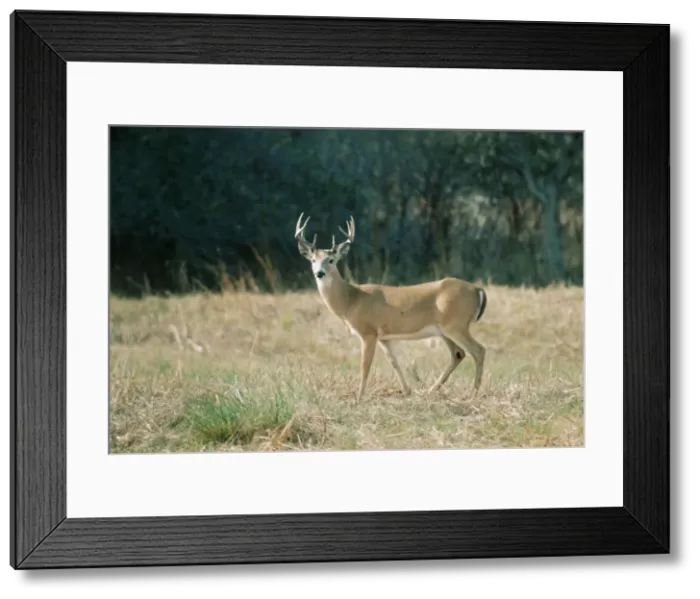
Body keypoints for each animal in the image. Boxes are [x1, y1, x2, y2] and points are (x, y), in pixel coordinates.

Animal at [294, 212, 488, 404]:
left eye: (331, 260)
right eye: (313, 260)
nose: (319, 273)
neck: (350, 300)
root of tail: (476, 289)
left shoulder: (369, 332)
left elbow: (365, 365)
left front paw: (359, 398)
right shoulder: (384, 337)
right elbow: (394, 362)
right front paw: (407, 391)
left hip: (456, 325)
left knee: (478, 350)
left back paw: (472, 394)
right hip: (443, 330)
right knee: (458, 353)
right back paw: (431, 391)